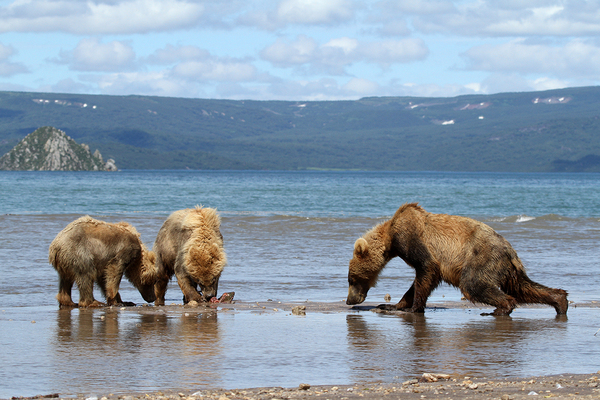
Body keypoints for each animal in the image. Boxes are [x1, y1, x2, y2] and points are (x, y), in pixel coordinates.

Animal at [346, 203, 568, 316]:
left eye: (351, 279)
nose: (349, 300)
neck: (390, 238)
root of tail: (510, 250)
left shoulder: (411, 238)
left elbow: (427, 268)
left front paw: (413, 308)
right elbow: (421, 278)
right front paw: (393, 305)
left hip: (481, 258)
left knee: (473, 284)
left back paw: (499, 309)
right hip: (507, 268)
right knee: (522, 286)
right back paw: (560, 301)